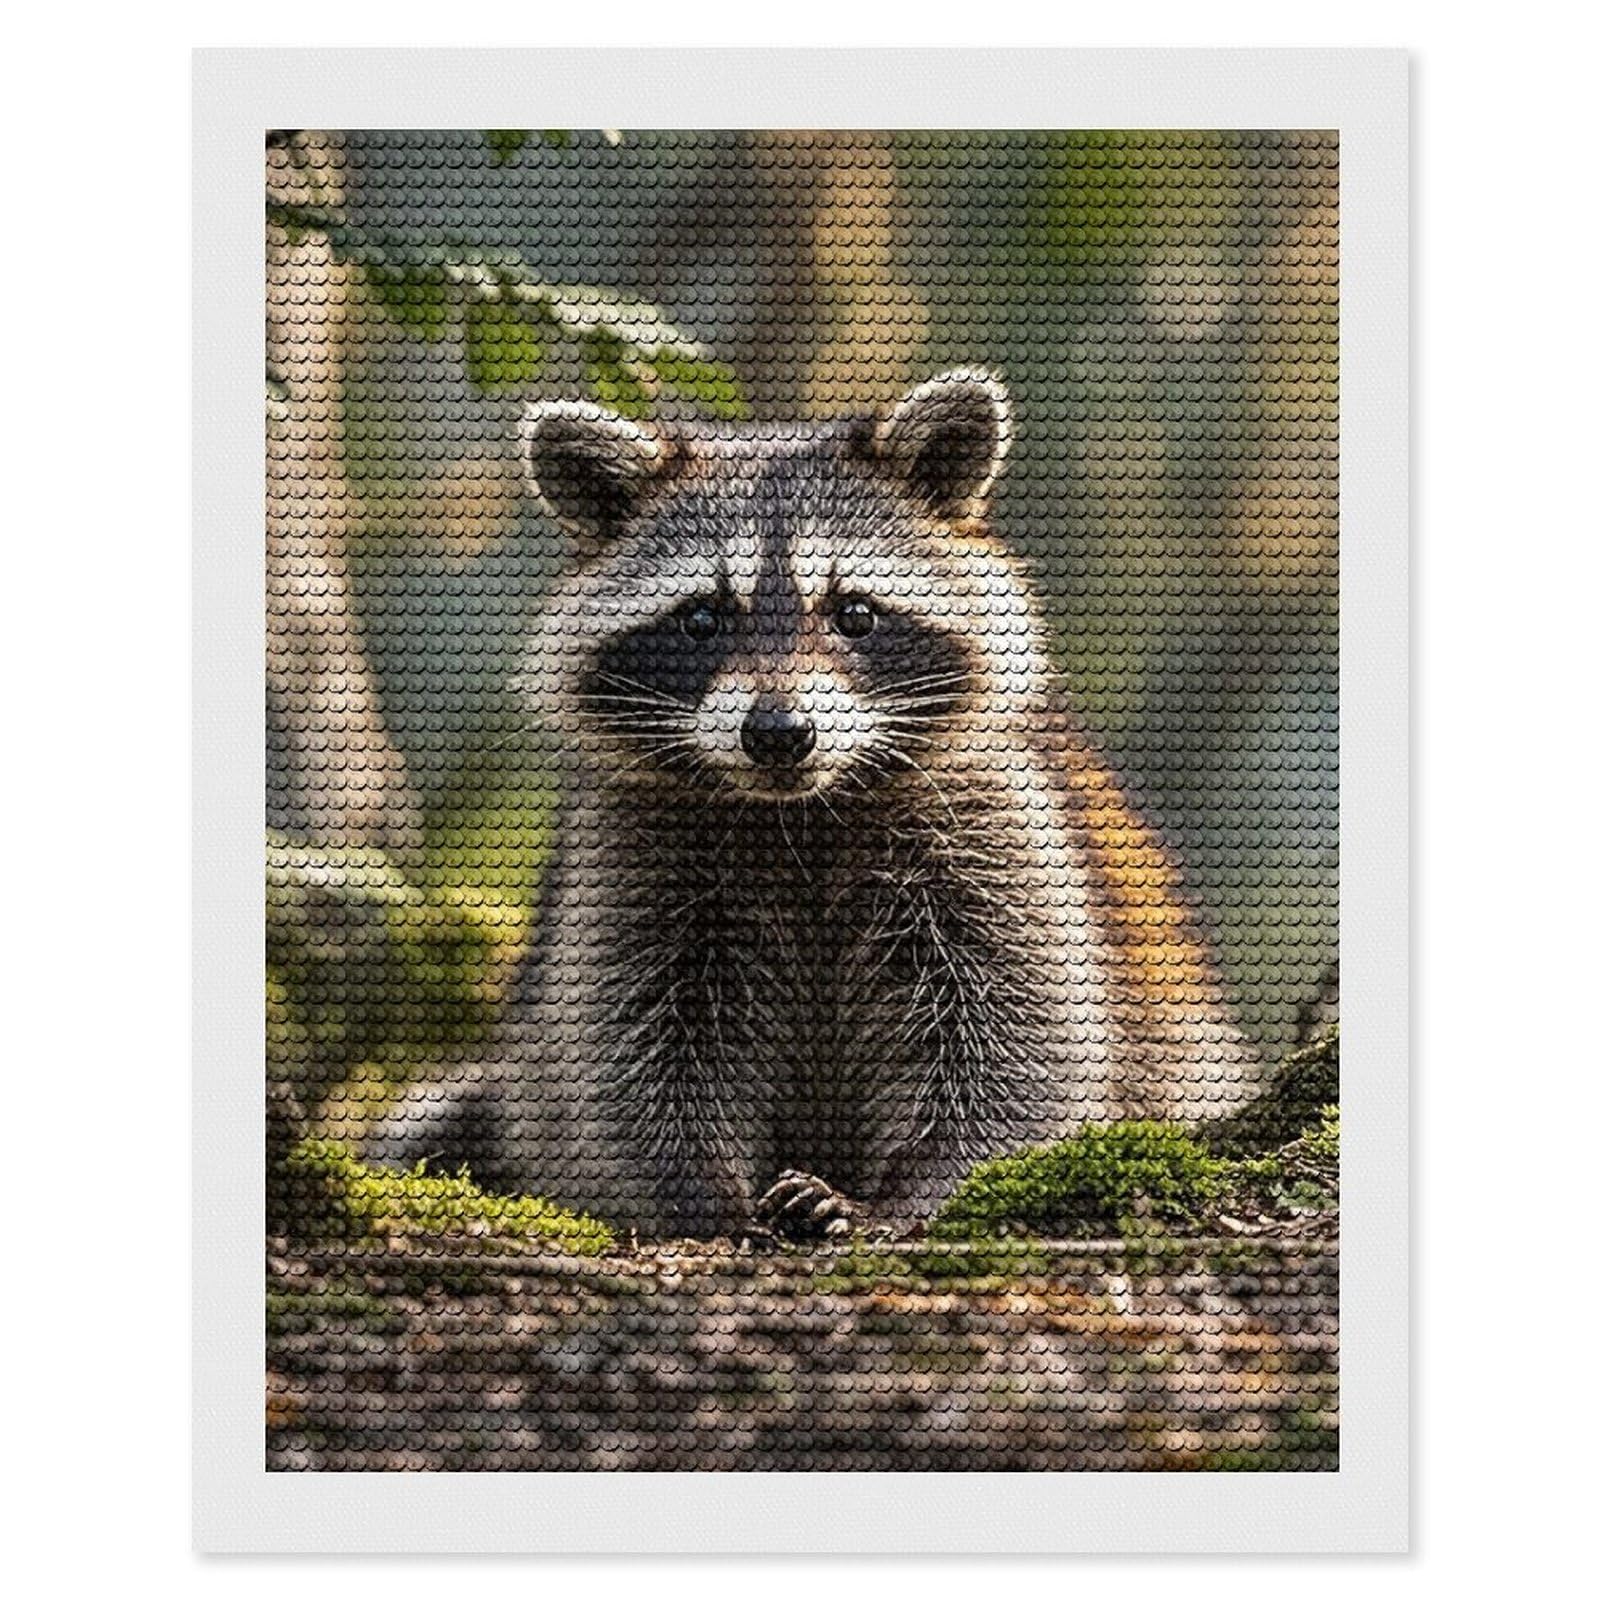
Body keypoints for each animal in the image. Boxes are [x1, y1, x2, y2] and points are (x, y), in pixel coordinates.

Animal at [369, 370, 1259, 1237]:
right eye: (701, 617)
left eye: (854, 612)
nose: (779, 733)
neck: (800, 814)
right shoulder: (633, 848)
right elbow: (632, 1048)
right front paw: (705, 1197)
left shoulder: (996, 818)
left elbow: (1019, 1039)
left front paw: (909, 1193)